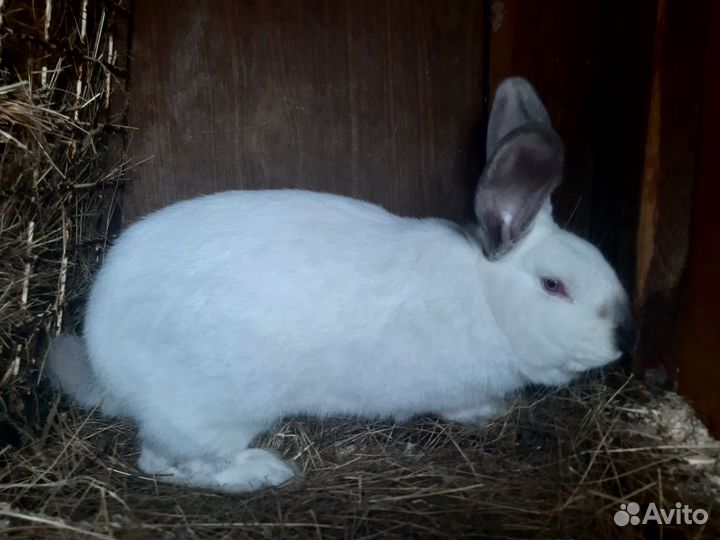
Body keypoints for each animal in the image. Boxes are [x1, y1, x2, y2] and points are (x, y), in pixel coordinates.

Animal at [46, 77, 637, 493]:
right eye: (554, 285)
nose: (623, 338)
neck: (487, 300)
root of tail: (105, 364)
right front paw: (489, 414)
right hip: (211, 412)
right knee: (166, 463)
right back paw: (263, 473)